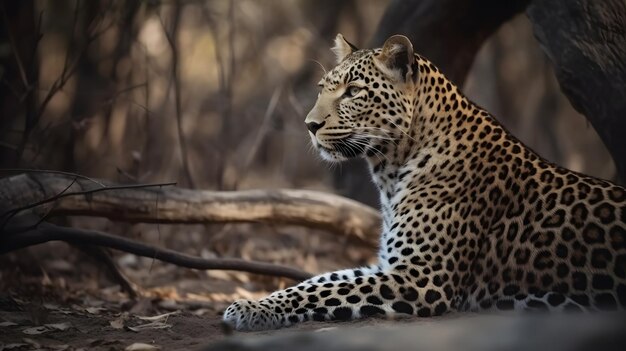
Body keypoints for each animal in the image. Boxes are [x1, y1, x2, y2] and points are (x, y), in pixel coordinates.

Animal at [223, 33, 624, 332]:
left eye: (353, 91)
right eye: (323, 87)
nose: (310, 124)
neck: (391, 168)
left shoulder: (421, 276)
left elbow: (327, 290)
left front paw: (251, 312)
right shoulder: (389, 264)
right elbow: (319, 280)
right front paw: (251, 303)